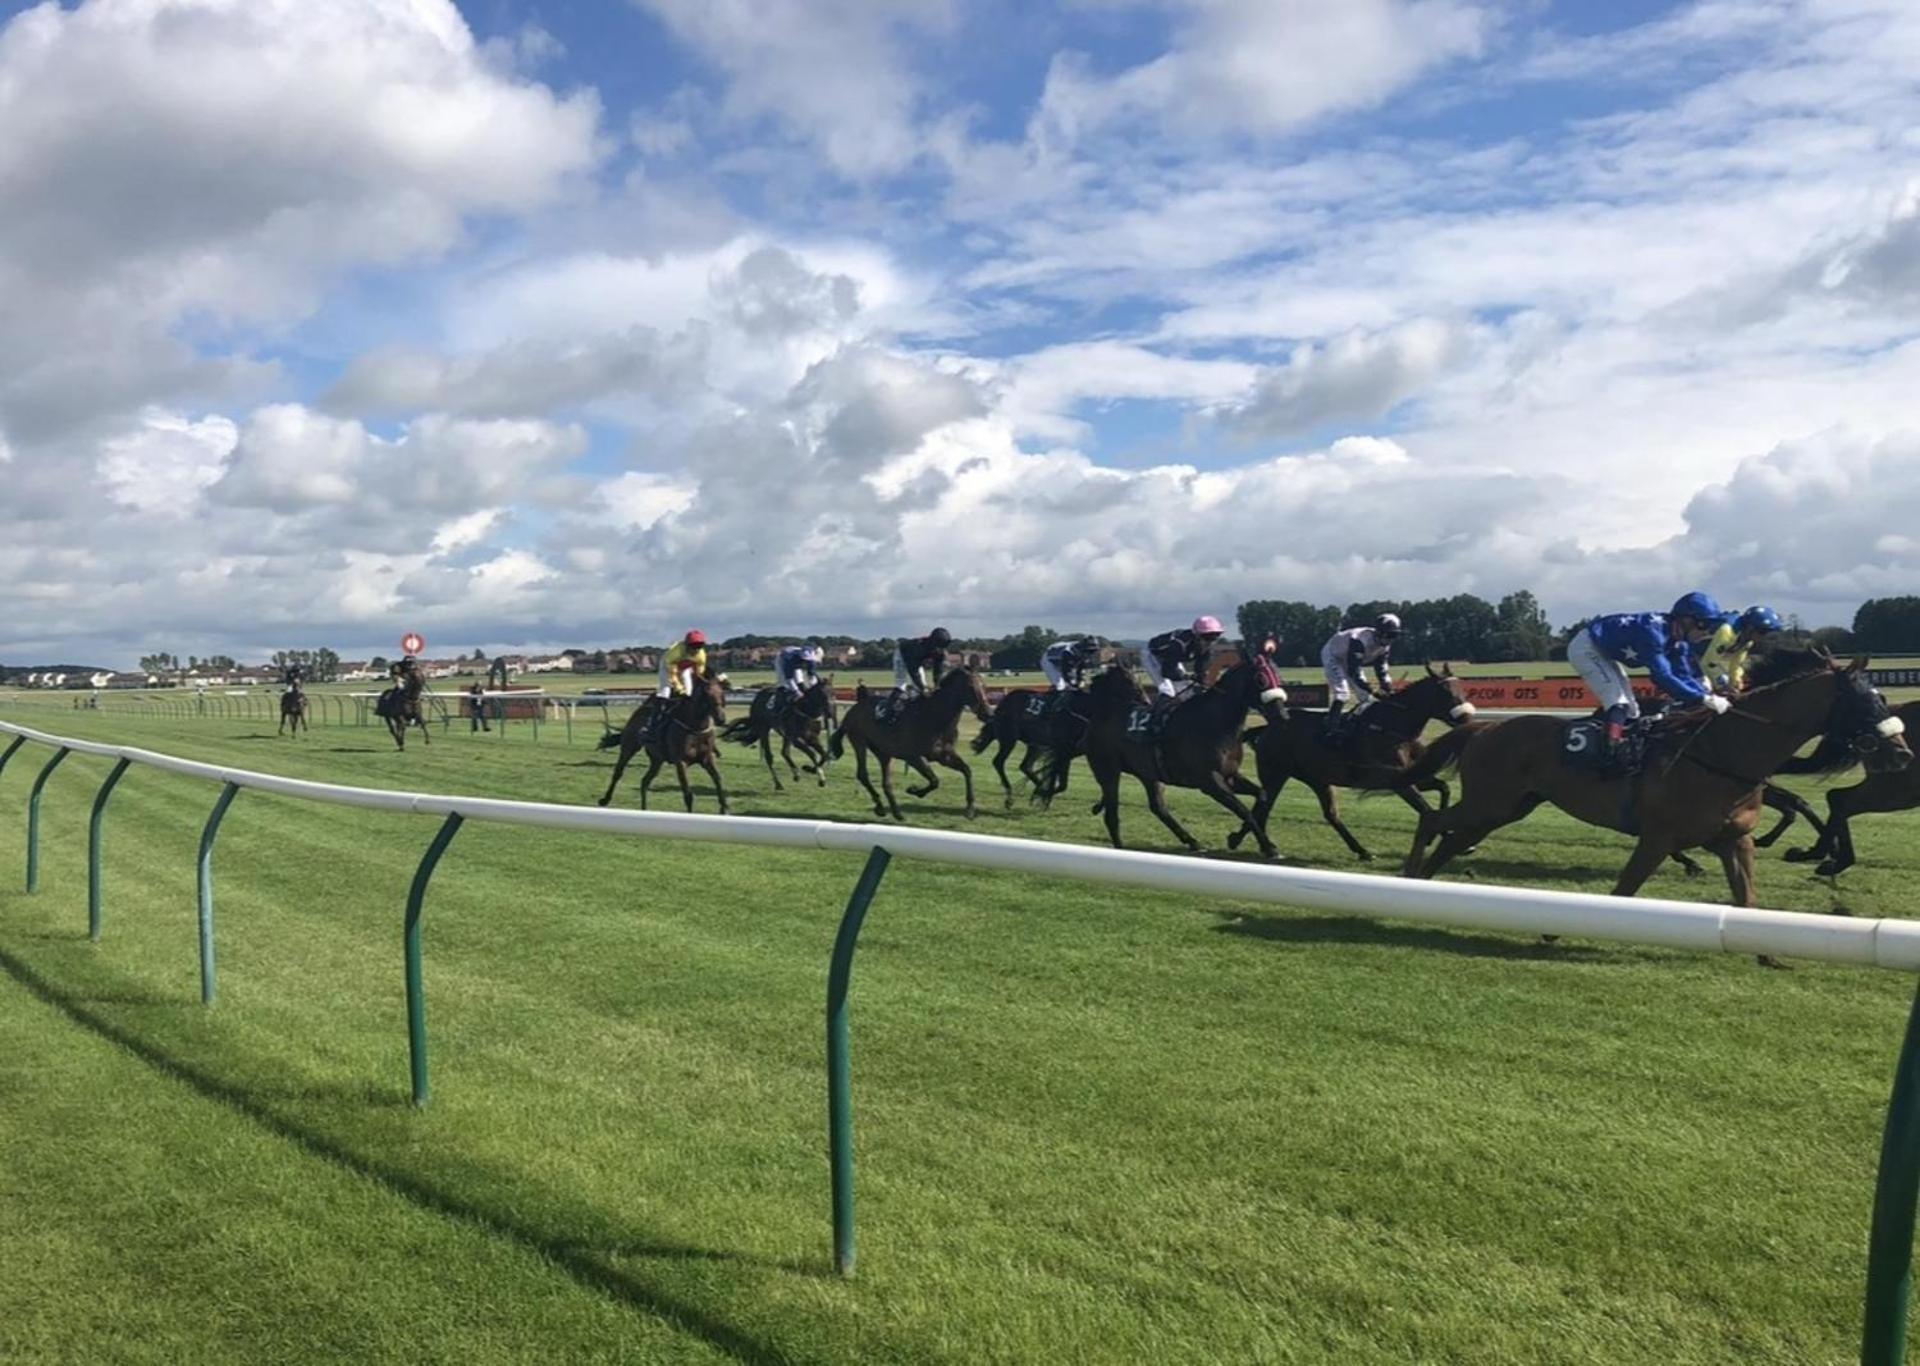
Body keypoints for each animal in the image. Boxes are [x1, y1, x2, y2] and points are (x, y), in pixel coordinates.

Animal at [595, 672, 729, 810]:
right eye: (706, 694)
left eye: (721, 692)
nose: (721, 719)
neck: (695, 728)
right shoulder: (681, 762)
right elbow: (688, 794)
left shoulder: (707, 758)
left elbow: (718, 779)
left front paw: (724, 808)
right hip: (629, 747)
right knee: (618, 772)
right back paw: (605, 799)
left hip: (657, 759)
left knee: (645, 781)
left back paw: (644, 809)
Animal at [1044, 657, 1297, 860]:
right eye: (1261, 679)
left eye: (1278, 677)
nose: (1283, 716)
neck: (1215, 723)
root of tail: (1098, 717)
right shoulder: (1210, 782)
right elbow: (1243, 809)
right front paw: (1268, 847)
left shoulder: (1231, 775)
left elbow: (1262, 796)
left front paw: (1241, 838)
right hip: (1107, 770)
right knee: (1112, 813)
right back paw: (1121, 847)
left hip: (1148, 773)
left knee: (1158, 808)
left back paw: (1192, 841)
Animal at [1221, 660, 1474, 864]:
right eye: (1445, 693)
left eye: (1462, 688)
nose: (1468, 720)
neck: (1392, 727)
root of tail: (1268, 728)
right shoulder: (1397, 781)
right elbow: (1424, 807)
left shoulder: (1415, 775)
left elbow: (1444, 788)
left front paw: (1450, 836)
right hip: (1275, 774)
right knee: (1263, 806)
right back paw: (1254, 843)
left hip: (1316, 778)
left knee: (1328, 814)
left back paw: (1361, 850)